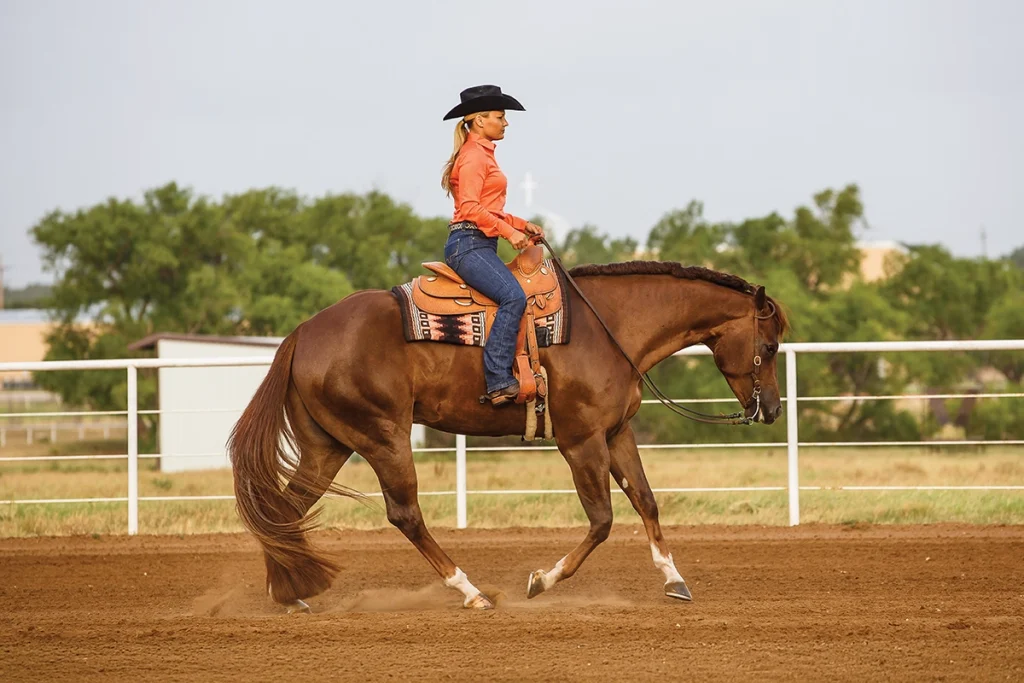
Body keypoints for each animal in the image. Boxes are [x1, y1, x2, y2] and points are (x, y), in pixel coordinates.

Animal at [227, 258, 789, 613]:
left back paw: (289, 594)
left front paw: (675, 580)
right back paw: (471, 592)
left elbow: (646, 502)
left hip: (328, 444)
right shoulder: (580, 441)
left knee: (284, 510)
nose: (771, 410)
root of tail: (304, 333)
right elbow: (602, 520)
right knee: (405, 514)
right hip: (383, 437)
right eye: (769, 345)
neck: (609, 328)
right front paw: (542, 580)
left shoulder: (616, 433)